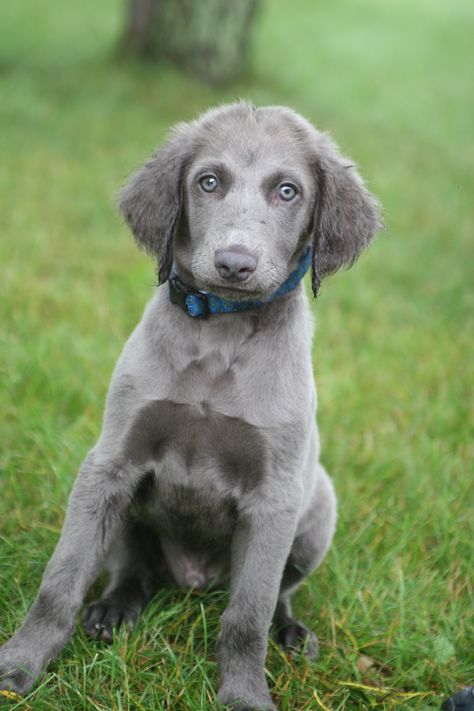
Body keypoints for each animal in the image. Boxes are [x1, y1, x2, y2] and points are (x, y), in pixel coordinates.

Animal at [0, 103, 380, 708]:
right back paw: (113, 610)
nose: (234, 263)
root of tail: (194, 579)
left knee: (278, 594)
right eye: (208, 182)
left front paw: (245, 695)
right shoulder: (109, 463)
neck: (221, 335)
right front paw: (20, 664)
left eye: (288, 191)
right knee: (132, 566)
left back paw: (294, 634)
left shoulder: (274, 500)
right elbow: (60, 580)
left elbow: (247, 616)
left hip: (317, 505)